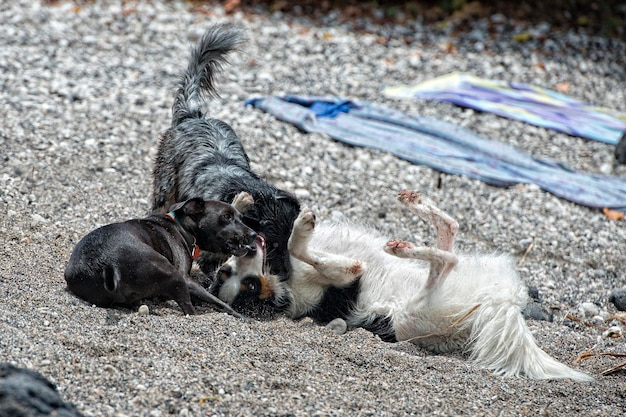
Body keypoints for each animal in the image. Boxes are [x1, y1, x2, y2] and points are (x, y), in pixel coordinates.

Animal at [64, 193, 255, 316]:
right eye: (227, 216)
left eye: (239, 217)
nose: (254, 234)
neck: (182, 227)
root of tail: (108, 264)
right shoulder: (187, 280)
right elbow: (220, 303)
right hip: (173, 275)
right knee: (190, 311)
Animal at [214, 189, 588, 380]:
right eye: (249, 288)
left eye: (228, 271)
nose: (248, 248)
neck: (281, 274)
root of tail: (503, 300)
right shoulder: (343, 279)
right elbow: (305, 250)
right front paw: (304, 232)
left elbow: (295, 244)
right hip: (413, 314)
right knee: (445, 261)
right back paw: (405, 248)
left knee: (450, 232)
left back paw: (414, 212)